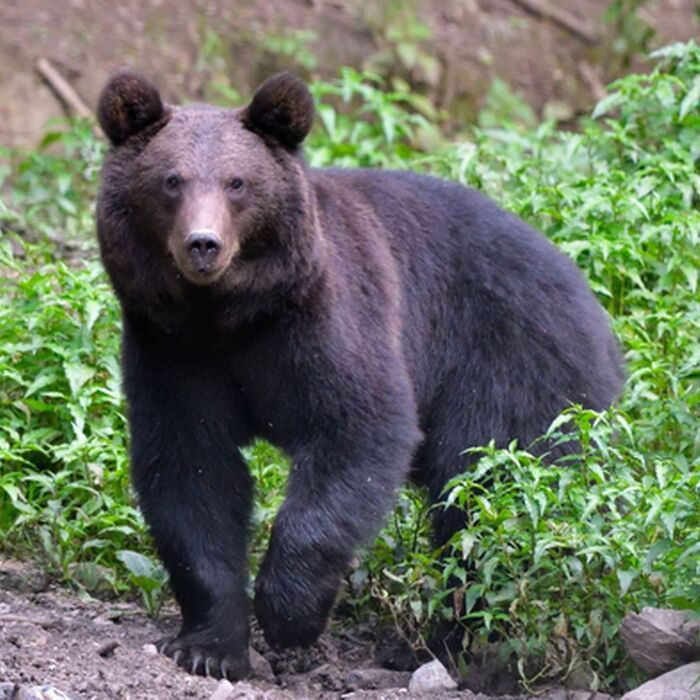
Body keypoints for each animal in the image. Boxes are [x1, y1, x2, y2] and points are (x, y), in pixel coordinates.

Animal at [95, 70, 624, 680]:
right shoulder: (171, 350)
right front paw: (208, 647)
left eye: (237, 183)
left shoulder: (328, 322)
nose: (203, 244)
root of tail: (593, 304)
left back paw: (443, 640)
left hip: (516, 366)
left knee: (487, 493)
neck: (230, 317)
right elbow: (191, 474)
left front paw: (289, 616)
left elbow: (359, 431)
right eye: (171, 181)